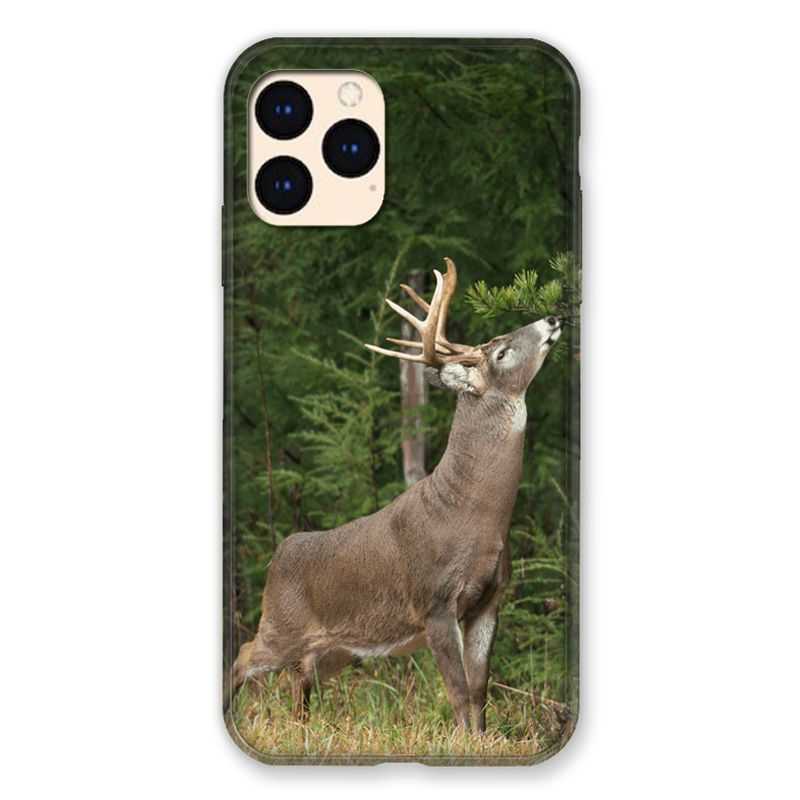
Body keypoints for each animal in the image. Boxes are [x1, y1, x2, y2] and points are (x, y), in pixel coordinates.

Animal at [227, 257, 562, 732]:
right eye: (500, 352)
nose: (552, 318)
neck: (475, 514)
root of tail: (278, 555)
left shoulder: (490, 599)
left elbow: (480, 690)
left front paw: (482, 739)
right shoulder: (435, 601)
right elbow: (458, 691)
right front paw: (463, 741)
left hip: (332, 649)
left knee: (299, 680)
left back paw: (302, 728)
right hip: (281, 624)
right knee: (242, 656)